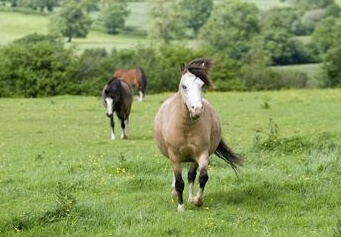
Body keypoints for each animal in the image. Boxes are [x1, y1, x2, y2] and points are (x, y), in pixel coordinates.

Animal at [151, 57, 242, 211]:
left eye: (202, 85)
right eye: (184, 86)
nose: (197, 110)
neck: (186, 128)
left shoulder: (201, 154)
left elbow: (202, 177)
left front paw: (196, 201)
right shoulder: (174, 156)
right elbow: (179, 182)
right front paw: (181, 207)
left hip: (193, 159)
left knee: (191, 176)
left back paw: (190, 197)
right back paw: (175, 193)